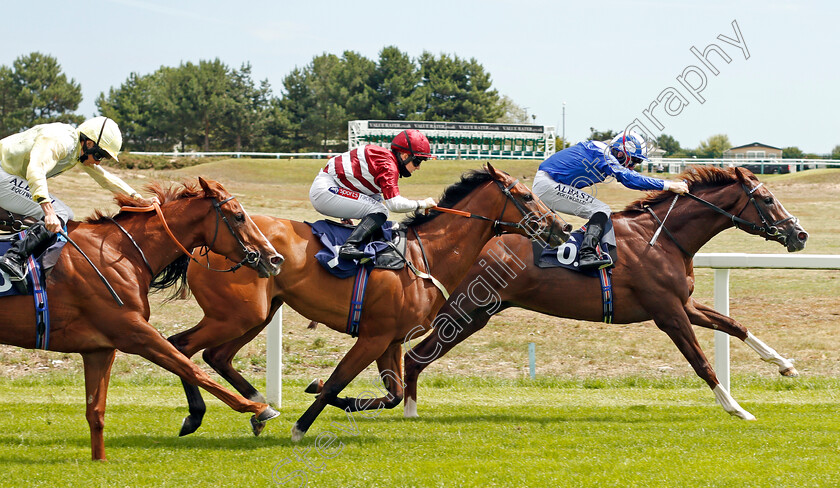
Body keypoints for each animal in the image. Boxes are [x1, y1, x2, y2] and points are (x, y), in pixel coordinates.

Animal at [0, 177, 284, 460]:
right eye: (239, 216)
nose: (275, 258)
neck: (119, 252)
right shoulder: (134, 332)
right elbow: (192, 369)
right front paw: (258, 409)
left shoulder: (100, 349)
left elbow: (96, 412)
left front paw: (99, 460)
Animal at [164, 163, 572, 438]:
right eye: (525, 196)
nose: (561, 227)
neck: (425, 257)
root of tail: (199, 244)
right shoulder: (372, 337)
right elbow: (336, 382)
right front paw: (302, 425)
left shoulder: (391, 340)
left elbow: (391, 394)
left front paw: (322, 397)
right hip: (236, 314)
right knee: (180, 346)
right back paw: (199, 414)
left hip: (259, 313)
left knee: (215, 355)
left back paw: (258, 406)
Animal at [404, 167, 812, 420]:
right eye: (768, 199)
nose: (800, 234)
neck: (663, 237)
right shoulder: (668, 313)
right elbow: (701, 361)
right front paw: (736, 408)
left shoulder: (684, 303)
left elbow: (734, 325)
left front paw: (785, 365)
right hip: (461, 310)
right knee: (413, 355)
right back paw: (407, 410)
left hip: (476, 315)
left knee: (417, 357)